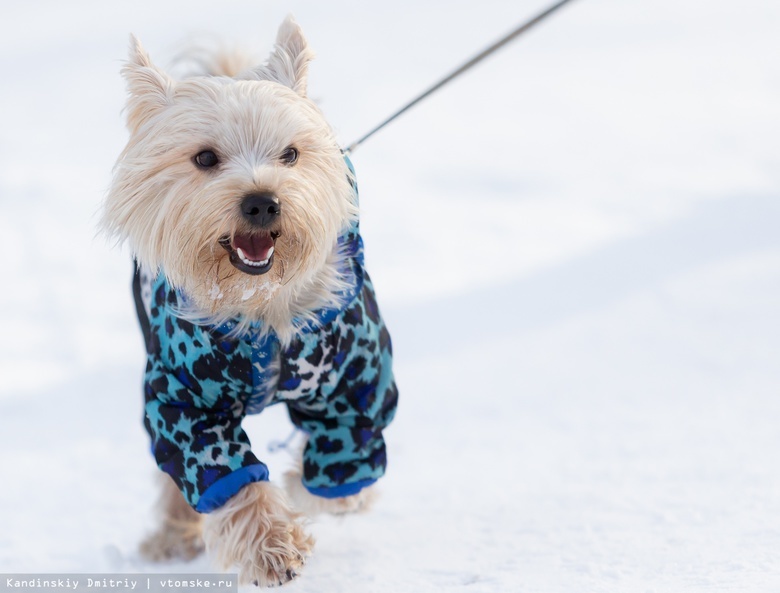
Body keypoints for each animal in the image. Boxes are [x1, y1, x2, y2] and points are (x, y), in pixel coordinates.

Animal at [102, 16, 396, 584]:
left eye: (291, 154)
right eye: (204, 158)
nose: (263, 201)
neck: (263, 302)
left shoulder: (356, 388)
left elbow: (343, 484)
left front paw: (299, 490)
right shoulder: (183, 401)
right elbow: (227, 478)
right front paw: (273, 544)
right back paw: (171, 537)